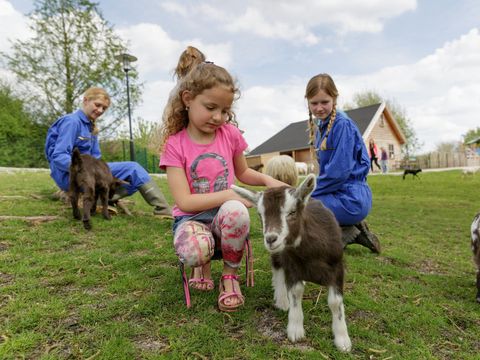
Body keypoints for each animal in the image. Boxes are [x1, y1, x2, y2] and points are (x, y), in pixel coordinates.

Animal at [232, 174, 352, 352]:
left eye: (292, 212)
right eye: (260, 215)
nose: (271, 239)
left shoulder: (337, 267)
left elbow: (335, 302)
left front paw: (342, 340)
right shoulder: (292, 266)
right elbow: (295, 292)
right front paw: (295, 330)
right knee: (277, 268)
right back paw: (282, 300)